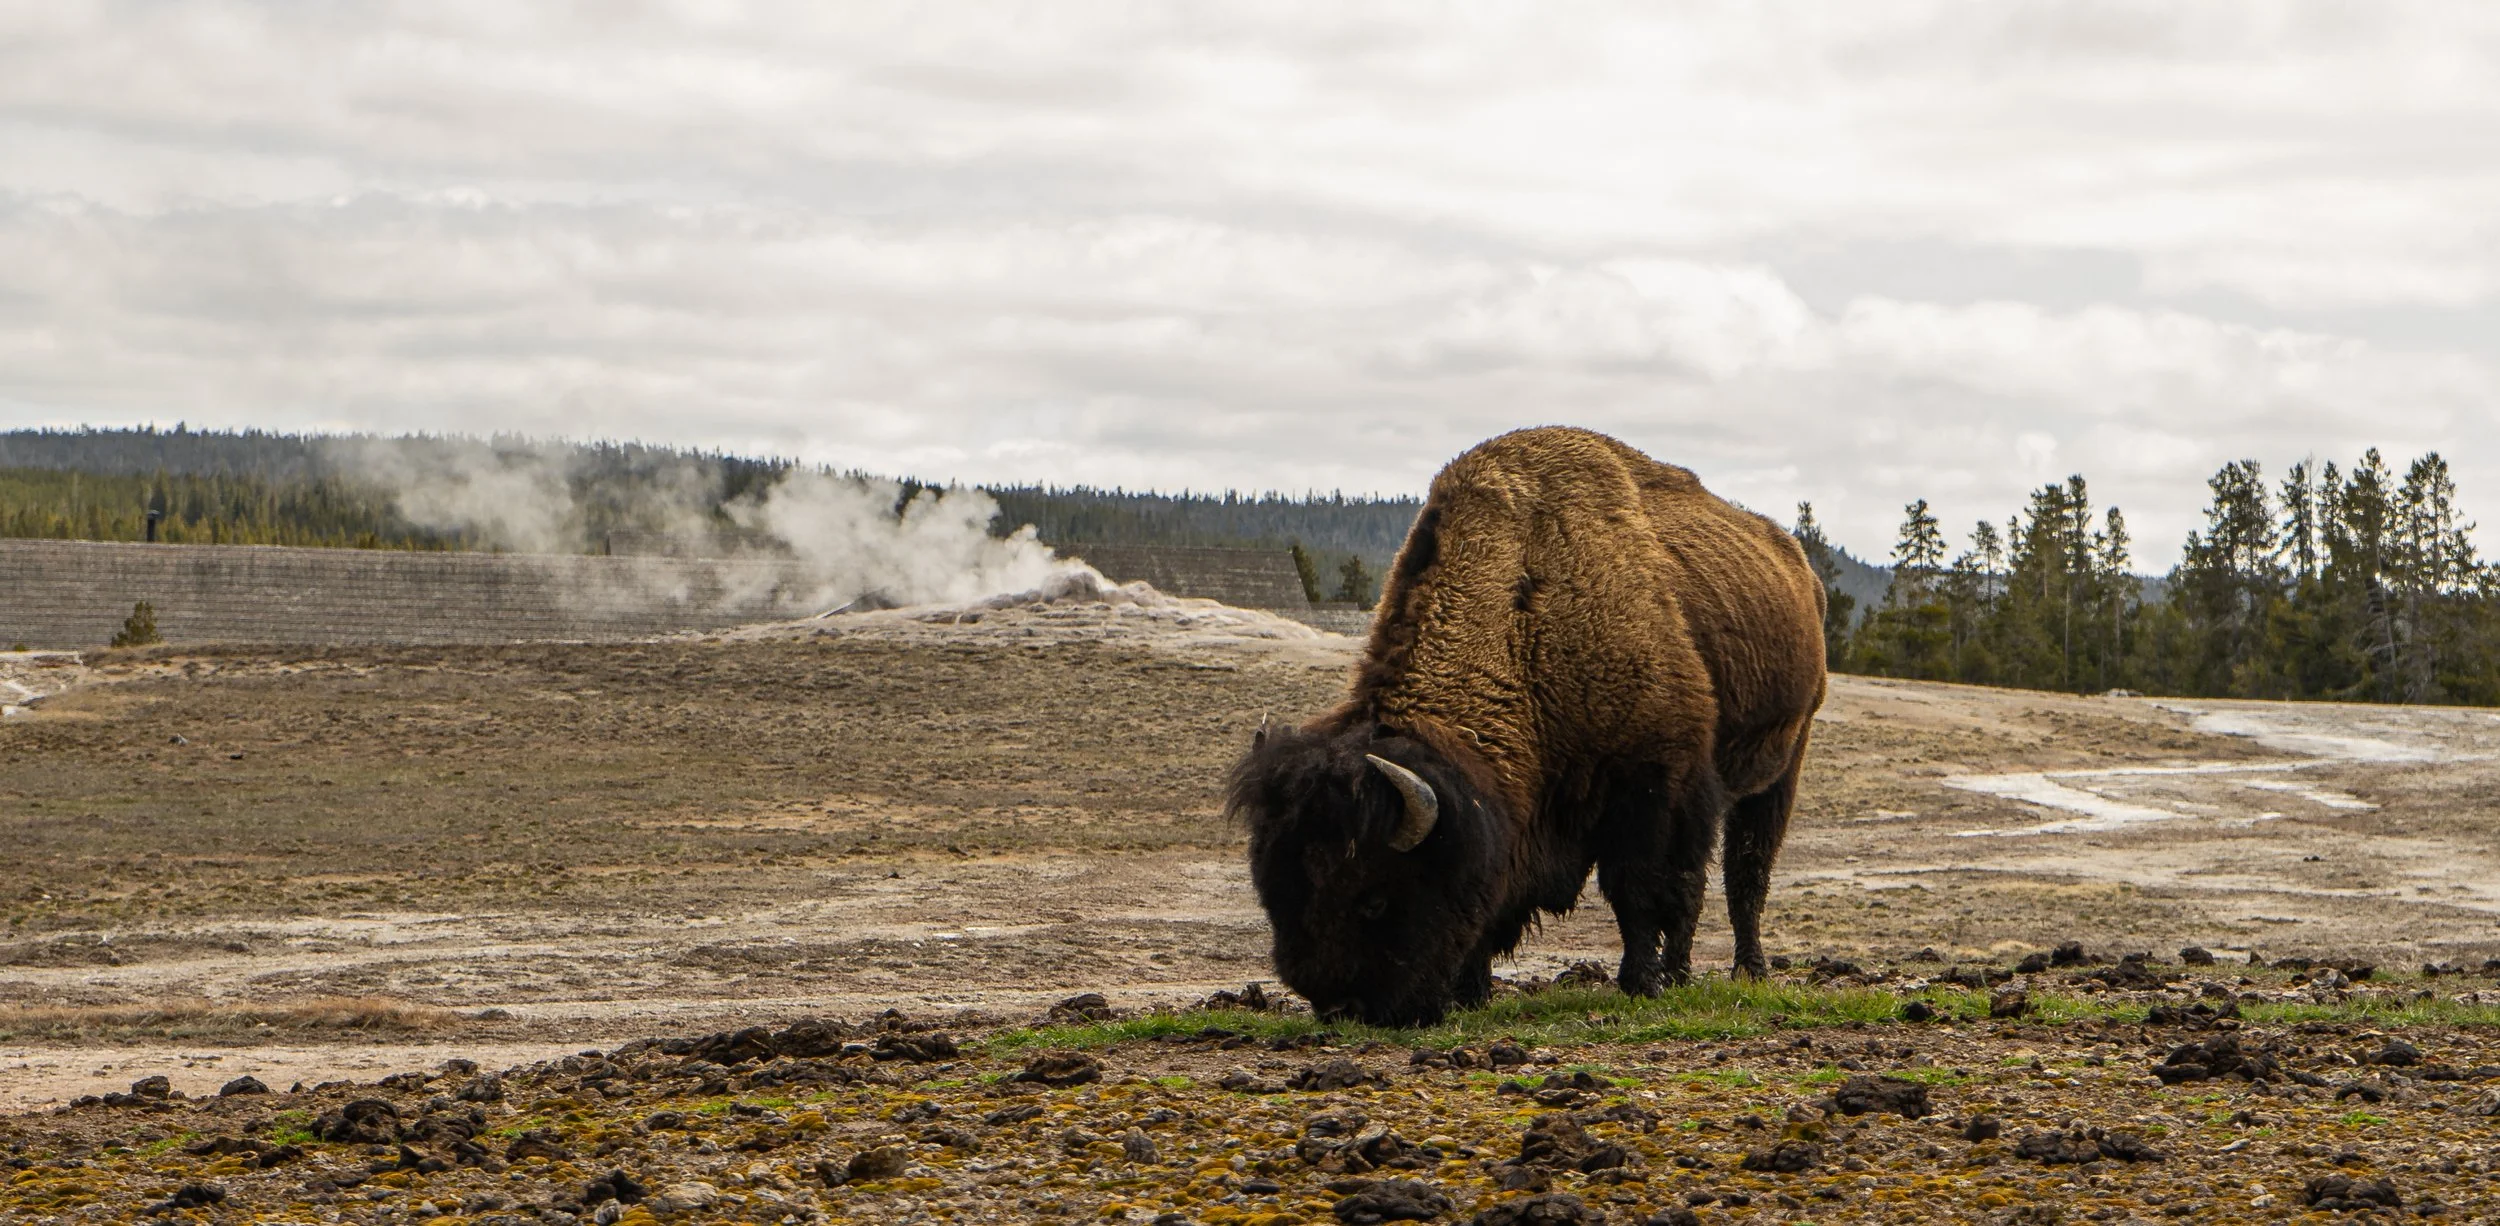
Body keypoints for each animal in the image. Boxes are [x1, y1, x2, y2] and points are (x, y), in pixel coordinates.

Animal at [1230, 427, 1827, 1025]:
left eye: (1374, 898)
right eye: (1274, 890)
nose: (1341, 1006)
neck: (1527, 627)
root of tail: (1799, 565)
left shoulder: (1653, 785)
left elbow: (1638, 890)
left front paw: (1640, 984)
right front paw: (1472, 992)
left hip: (1783, 761)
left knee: (1743, 873)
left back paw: (1742, 970)